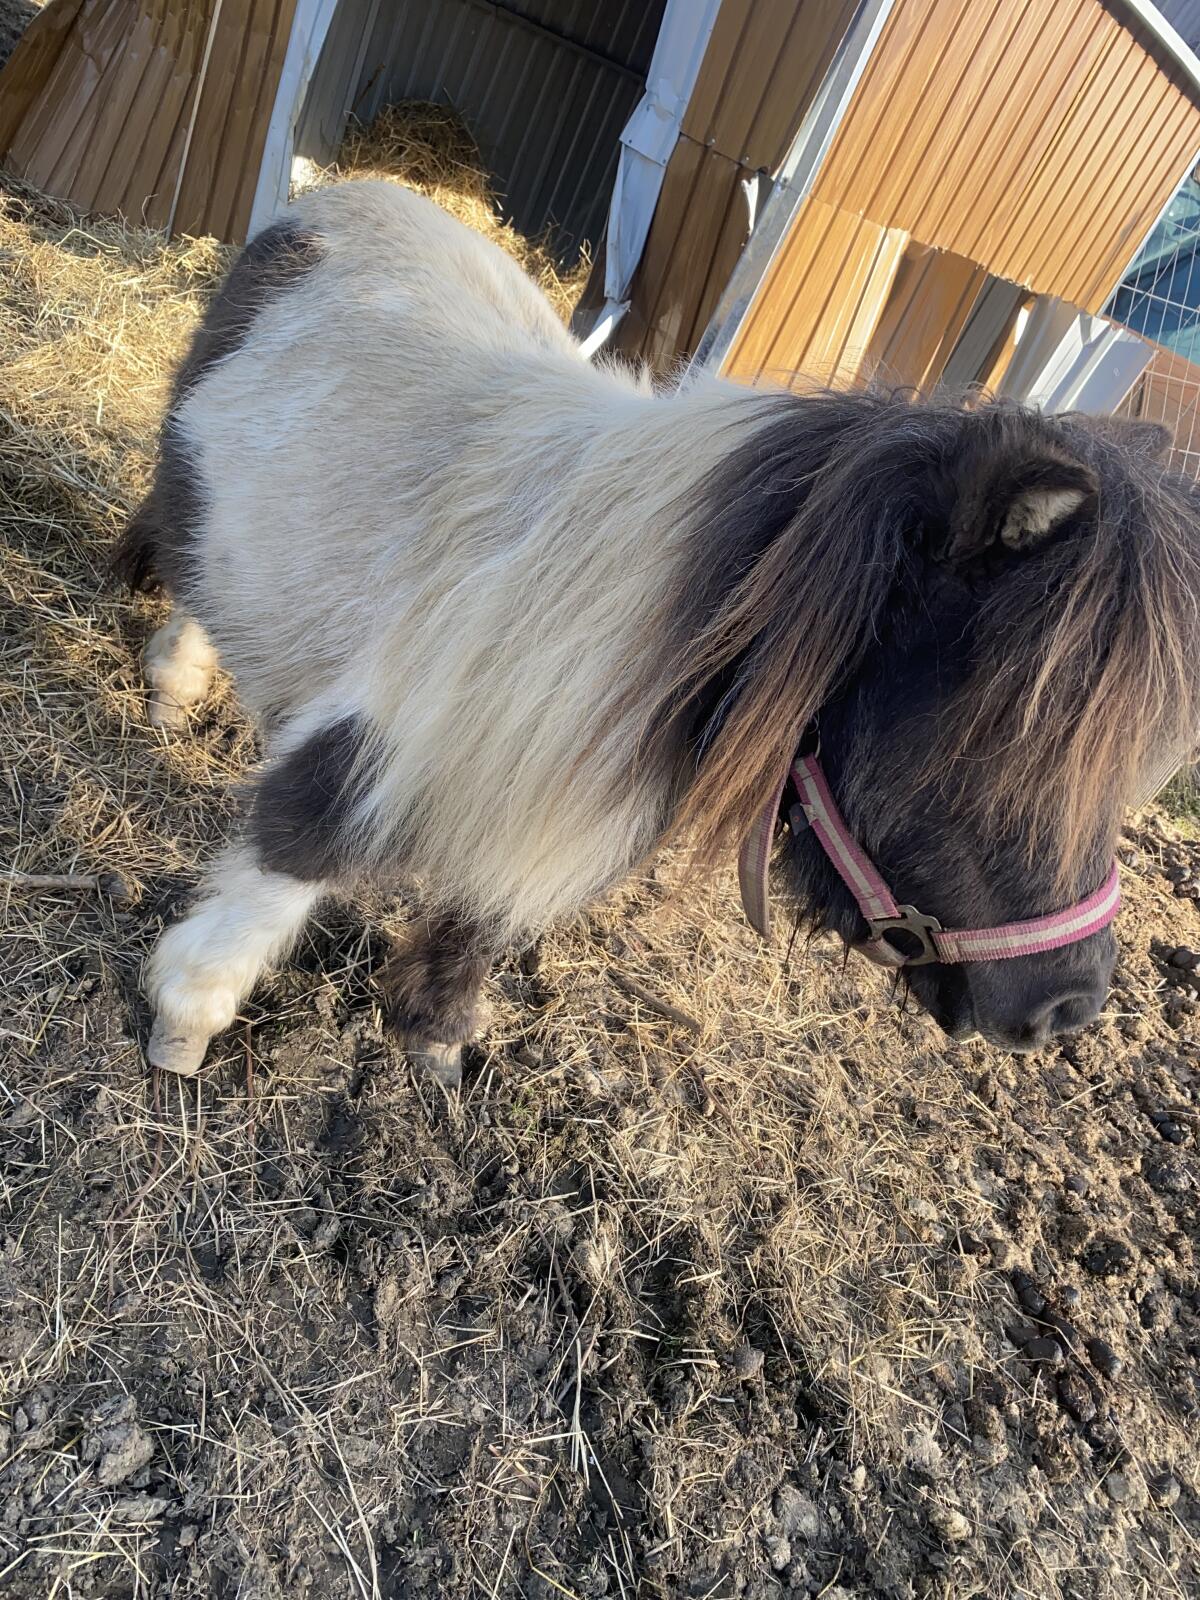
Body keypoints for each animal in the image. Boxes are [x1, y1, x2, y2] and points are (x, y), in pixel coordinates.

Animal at [116, 179, 1200, 1087]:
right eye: (991, 739)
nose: (1067, 1008)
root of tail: (352, 192)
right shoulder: (370, 750)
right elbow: (286, 864)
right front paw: (183, 1027)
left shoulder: (544, 815)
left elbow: (484, 915)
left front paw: (433, 1041)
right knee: (188, 562)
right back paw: (174, 687)